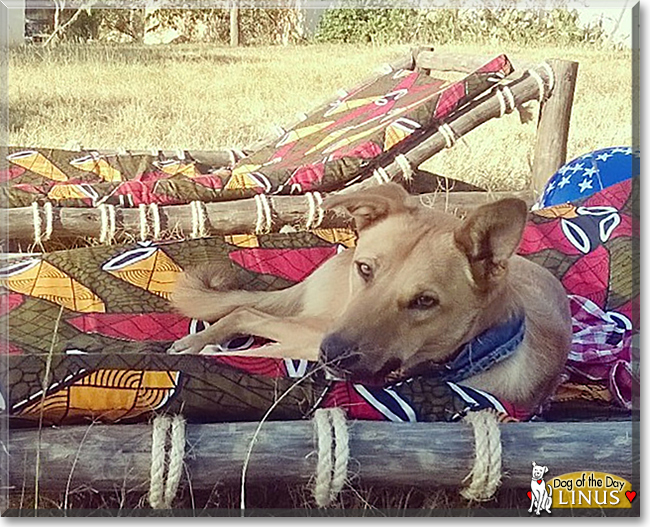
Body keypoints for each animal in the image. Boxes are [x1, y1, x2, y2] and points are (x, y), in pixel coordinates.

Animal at [167, 184, 568, 410]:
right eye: (365, 269)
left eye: (425, 301)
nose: (333, 354)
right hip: (317, 328)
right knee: (247, 313)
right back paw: (197, 343)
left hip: (310, 335)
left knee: (251, 321)